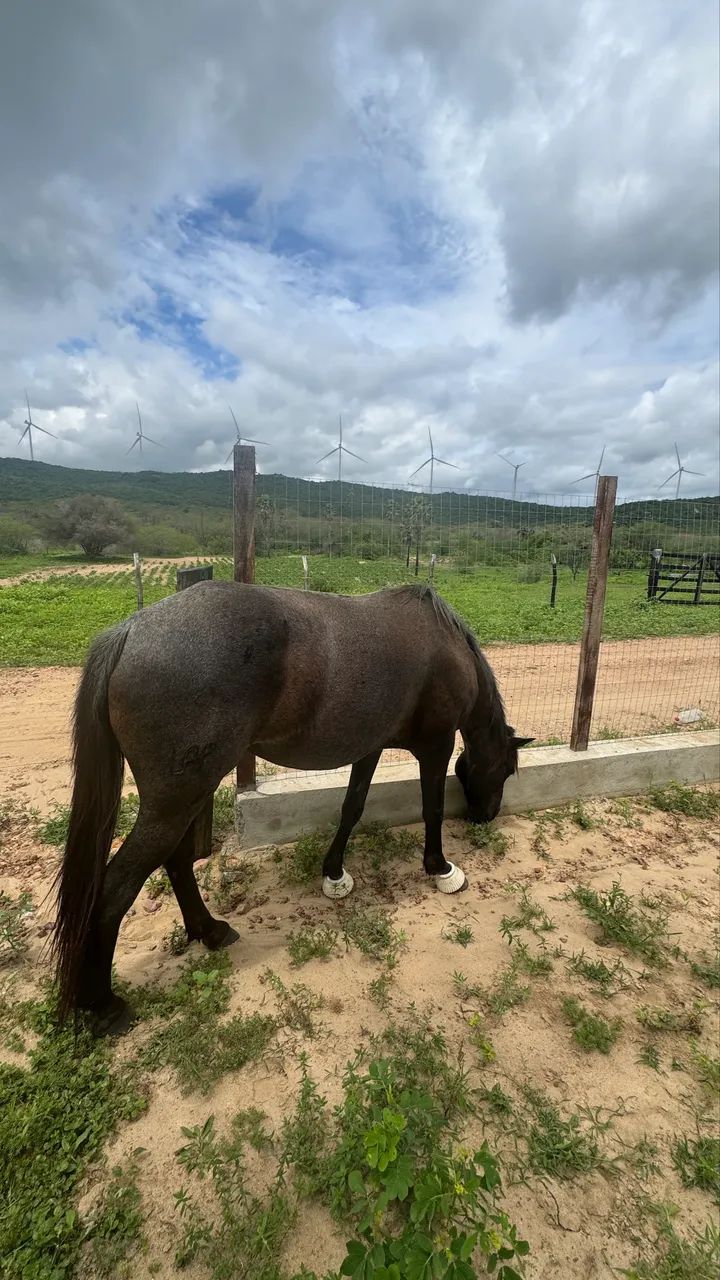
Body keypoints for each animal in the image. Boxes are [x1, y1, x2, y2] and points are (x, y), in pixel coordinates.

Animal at [52, 581, 532, 1034]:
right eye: (508, 769)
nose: (485, 817)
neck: (445, 644)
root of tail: (130, 631)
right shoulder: (436, 744)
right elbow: (431, 809)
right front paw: (441, 868)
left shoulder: (370, 746)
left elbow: (352, 807)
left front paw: (335, 874)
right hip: (175, 801)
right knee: (115, 889)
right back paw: (104, 1006)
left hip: (186, 796)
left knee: (176, 862)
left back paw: (210, 931)